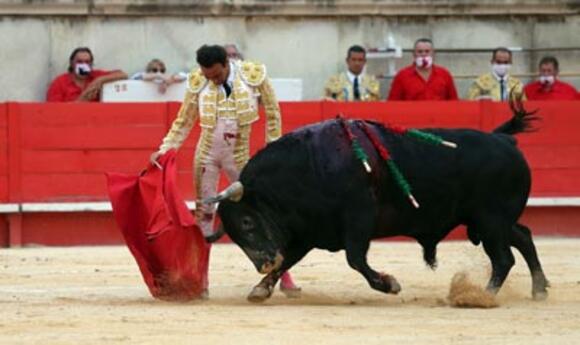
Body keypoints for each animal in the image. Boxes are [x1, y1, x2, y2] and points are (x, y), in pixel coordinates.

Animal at [207, 102, 548, 300]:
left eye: (247, 221)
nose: (264, 263)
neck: (310, 166)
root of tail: (504, 139)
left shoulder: (358, 220)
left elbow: (355, 259)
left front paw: (388, 284)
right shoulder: (308, 231)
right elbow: (290, 258)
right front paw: (261, 288)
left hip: (490, 221)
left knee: (503, 258)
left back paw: (482, 296)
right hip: (492, 221)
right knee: (523, 237)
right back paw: (539, 289)